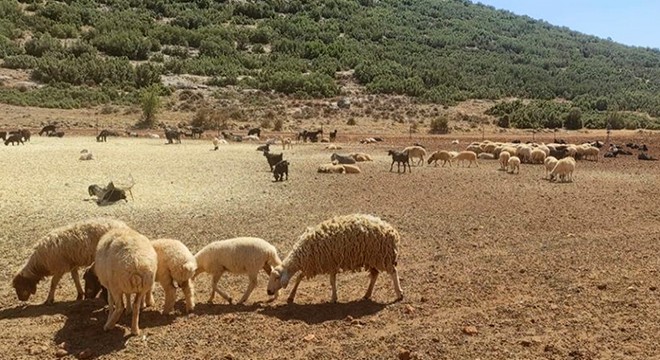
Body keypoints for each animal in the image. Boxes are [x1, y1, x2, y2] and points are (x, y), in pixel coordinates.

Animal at [266, 214, 402, 304]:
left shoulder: (327, 262)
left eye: (276, 278)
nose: (268, 291)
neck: (301, 254)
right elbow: (300, 277)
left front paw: (333, 298)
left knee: (393, 272)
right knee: (375, 275)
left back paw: (399, 293)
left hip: (383, 256)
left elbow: (331, 281)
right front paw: (291, 297)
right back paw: (367, 294)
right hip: (373, 258)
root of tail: (393, 232)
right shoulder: (313, 263)